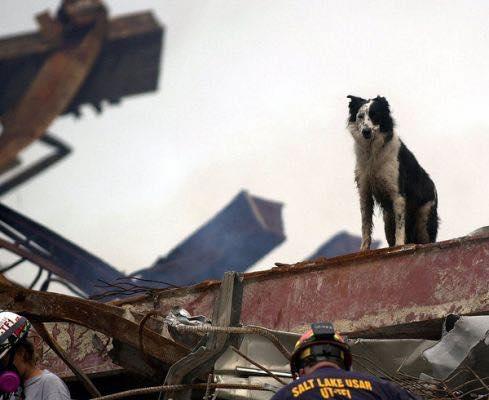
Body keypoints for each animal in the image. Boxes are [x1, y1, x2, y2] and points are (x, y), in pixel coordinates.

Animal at [346, 95, 436, 248]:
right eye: (360, 116)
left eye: (375, 115)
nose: (366, 131)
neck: (372, 153)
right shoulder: (365, 192)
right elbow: (365, 225)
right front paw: (364, 249)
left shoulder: (397, 194)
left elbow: (400, 227)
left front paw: (399, 246)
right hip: (388, 219)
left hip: (424, 219)